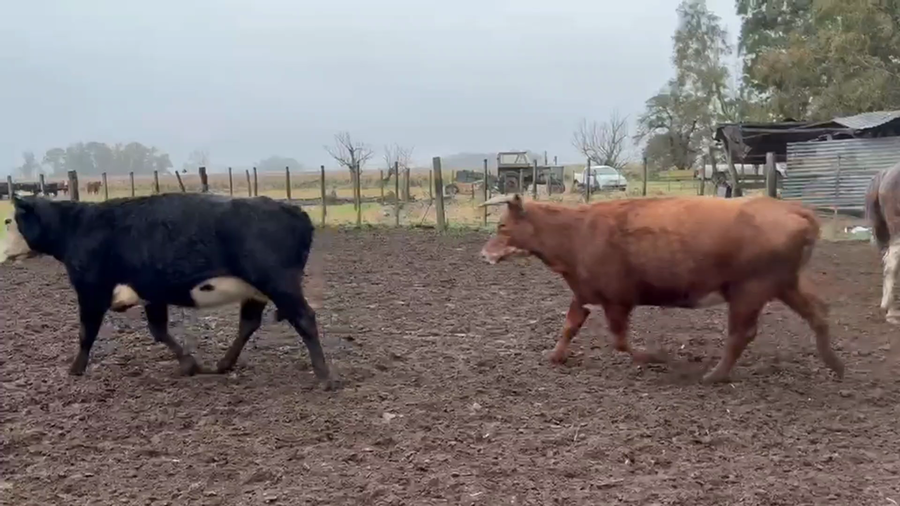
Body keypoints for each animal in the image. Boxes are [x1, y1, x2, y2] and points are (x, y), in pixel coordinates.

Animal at [2, 192, 338, 390]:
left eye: (10, 220)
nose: (4, 253)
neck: (77, 226)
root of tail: (291, 209)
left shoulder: (91, 290)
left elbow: (87, 332)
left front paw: (75, 369)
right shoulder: (153, 293)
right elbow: (159, 330)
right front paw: (189, 364)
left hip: (279, 283)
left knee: (304, 318)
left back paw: (324, 377)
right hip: (256, 289)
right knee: (249, 323)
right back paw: (223, 364)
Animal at [478, 193, 844, 384]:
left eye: (502, 225)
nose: (483, 254)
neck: (576, 232)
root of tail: (792, 209)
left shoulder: (617, 300)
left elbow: (620, 341)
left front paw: (654, 357)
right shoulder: (583, 293)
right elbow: (569, 326)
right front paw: (555, 357)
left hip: (749, 291)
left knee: (742, 334)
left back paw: (714, 376)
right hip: (786, 284)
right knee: (819, 314)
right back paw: (835, 365)